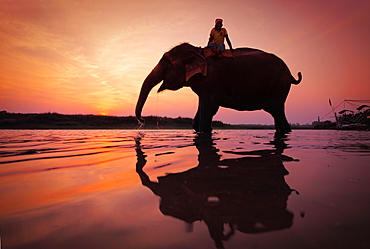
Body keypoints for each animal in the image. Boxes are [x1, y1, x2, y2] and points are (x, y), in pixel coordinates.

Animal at [134, 42, 302, 133]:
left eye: (169, 64)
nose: (142, 121)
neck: (199, 52)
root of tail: (291, 74)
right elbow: (202, 110)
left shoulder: (213, 81)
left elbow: (208, 108)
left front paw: (205, 130)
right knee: (276, 114)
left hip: (279, 86)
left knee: (277, 111)